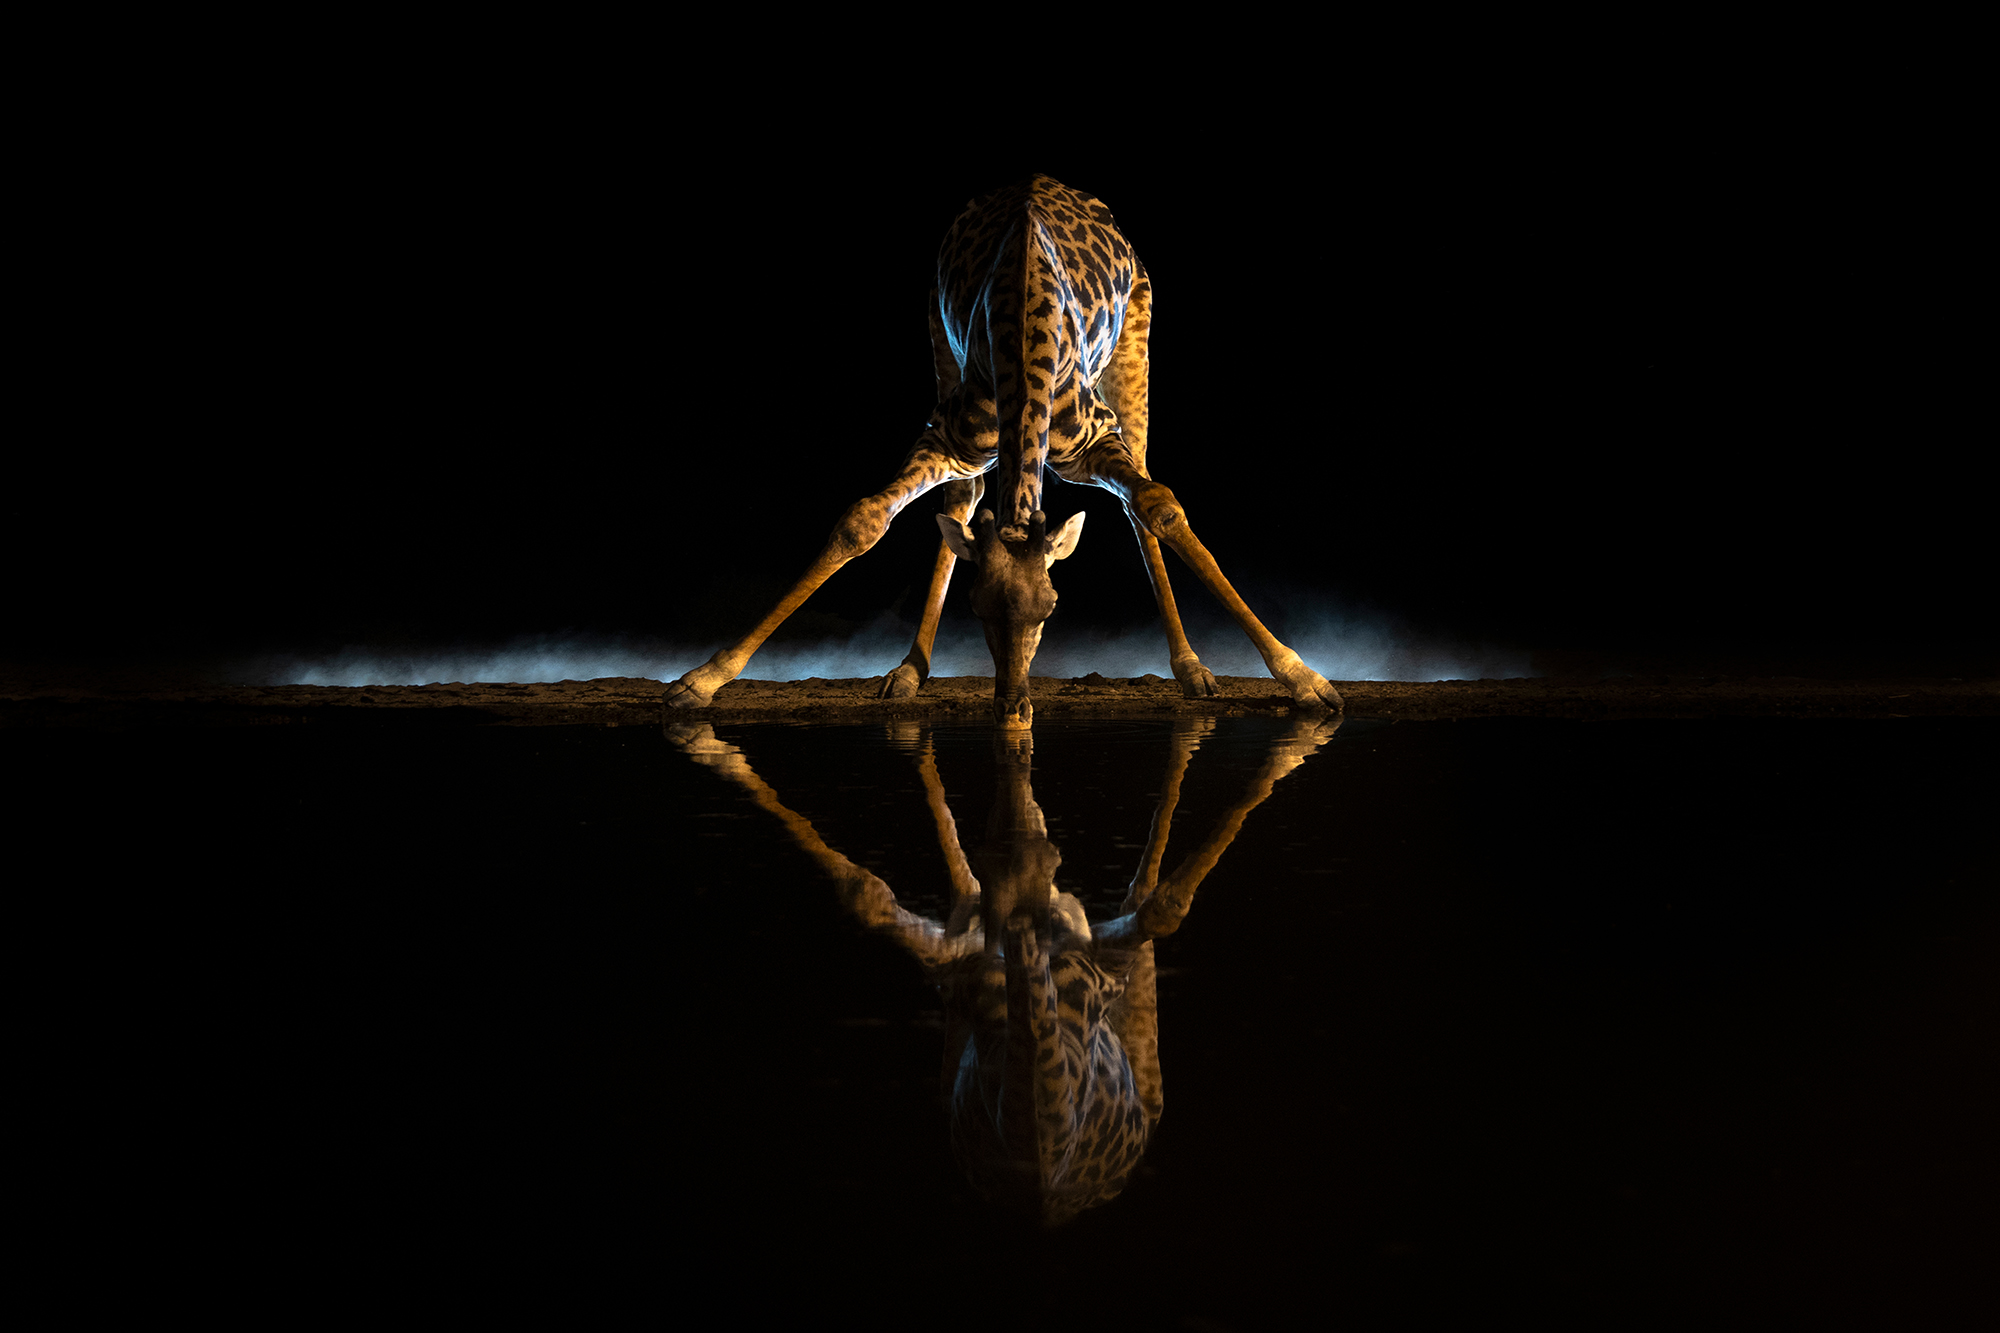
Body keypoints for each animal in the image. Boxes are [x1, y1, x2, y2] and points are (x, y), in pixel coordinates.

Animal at [663, 176, 1345, 729]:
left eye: (1052, 607)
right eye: (978, 607)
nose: (1014, 712)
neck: (1020, 331)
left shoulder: (1095, 437)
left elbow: (1160, 507)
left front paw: (1307, 681)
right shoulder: (947, 435)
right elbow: (864, 521)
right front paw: (702, 679)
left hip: (1135, 352)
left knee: (1140, 500)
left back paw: (1194, 671)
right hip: (941, 353)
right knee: (961, 503)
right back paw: (908, 672)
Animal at [664, 714, 1341, 1224]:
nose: (1041, 887)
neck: (1037, 1142)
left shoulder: (1100, 969)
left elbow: (1161, 905)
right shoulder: (960, 977)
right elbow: (874, 898)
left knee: (1142, 908)